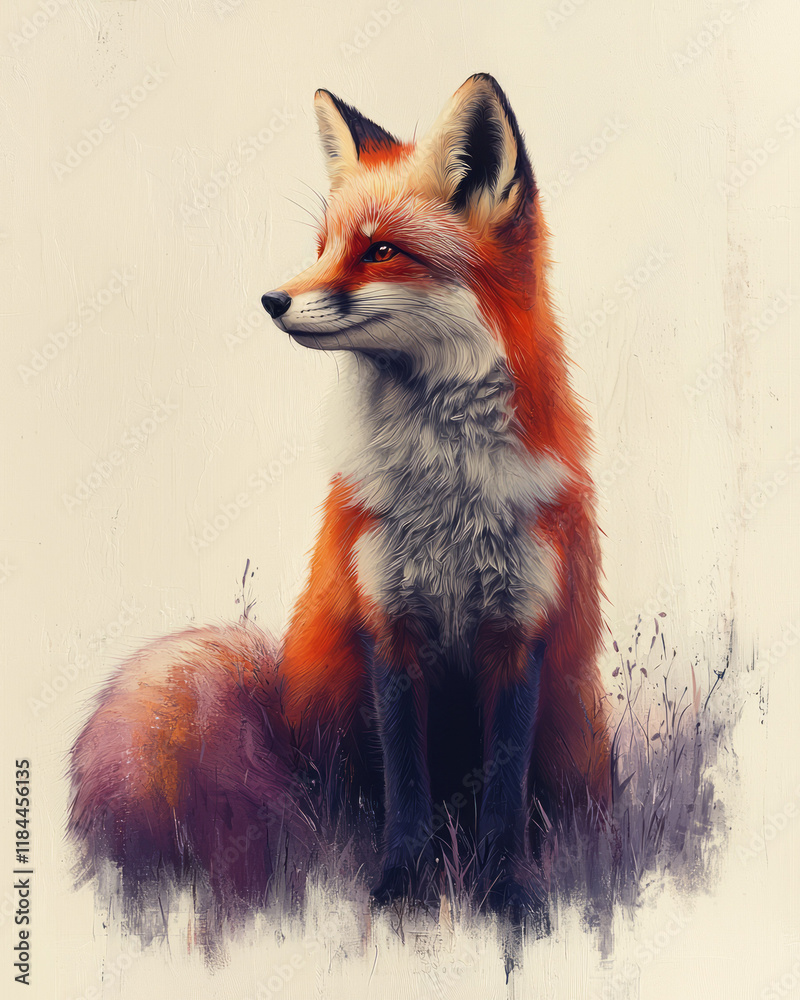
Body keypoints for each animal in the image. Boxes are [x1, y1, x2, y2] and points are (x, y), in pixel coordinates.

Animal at [69, 74, 610, 914]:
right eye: (322, 245)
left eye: (381, 250)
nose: (272, 300)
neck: (447, 495)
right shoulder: (388, 629)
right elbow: (407, 785)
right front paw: (401, 888)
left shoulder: (520, 635)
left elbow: (502, 791)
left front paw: (506, 896)